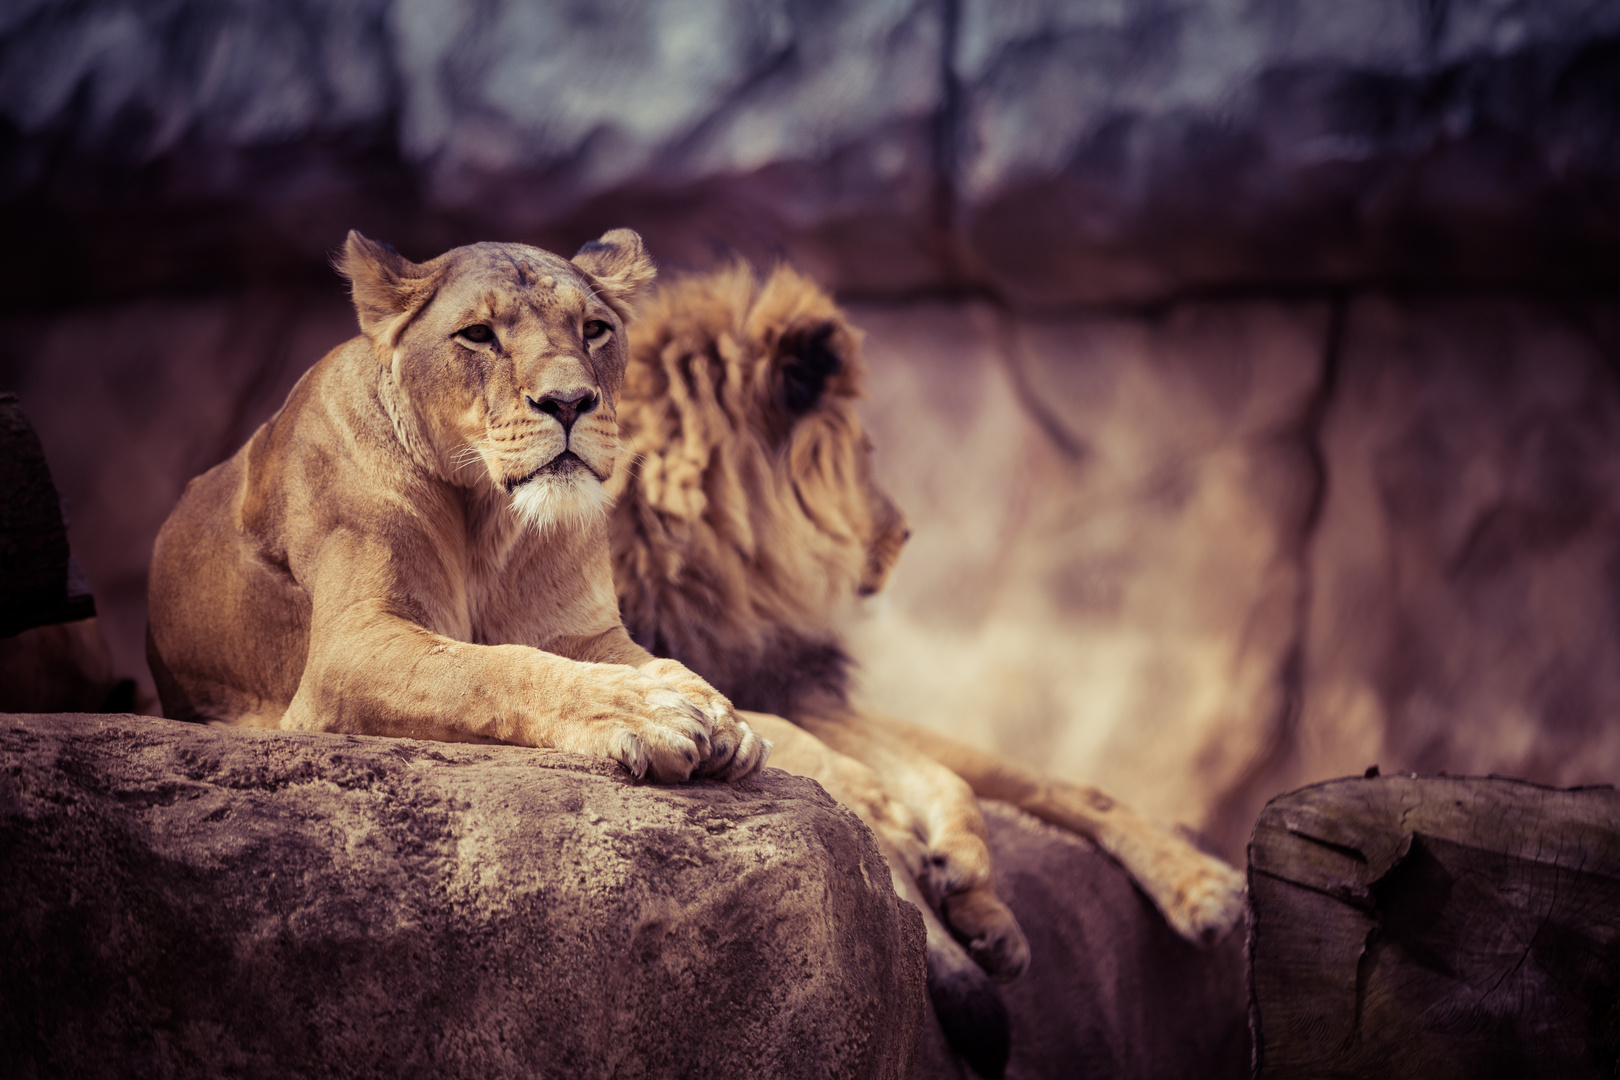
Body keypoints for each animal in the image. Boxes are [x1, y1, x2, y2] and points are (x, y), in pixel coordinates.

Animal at [145, 229, 764, 786]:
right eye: (478, 335)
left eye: (594, 329)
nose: (569, 403)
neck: (486, 512)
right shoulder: (347, 648)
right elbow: (492, 666)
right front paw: (647, 712)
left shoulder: (584, 633)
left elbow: (661, 663)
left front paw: (720, 715)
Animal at [609, 265, 1250, 1075]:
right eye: (867, 450)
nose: (907, 533)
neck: (704, 556)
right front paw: (909, 841)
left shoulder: (785, 676)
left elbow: (937, 778)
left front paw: (961, 874)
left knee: (1047, 783)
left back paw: (1187, 889)